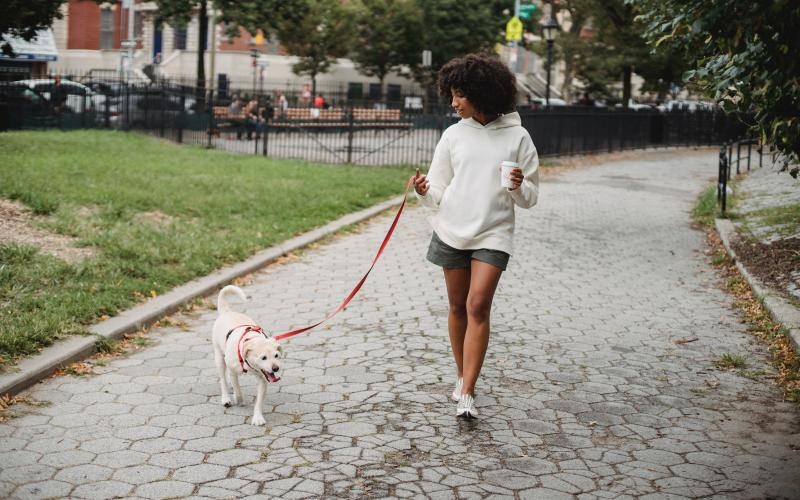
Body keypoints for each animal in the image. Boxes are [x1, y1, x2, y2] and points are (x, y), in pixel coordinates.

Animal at [212, 286, 284, 426]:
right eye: (263, 358)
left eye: (276, 355)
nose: (275, 368)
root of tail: (227, 312)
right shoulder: (232, 371)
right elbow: (237, 389)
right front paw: (238, 399)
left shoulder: (263, 379)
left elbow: (259, 401)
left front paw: (258, 417)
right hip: (219, 358)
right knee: (223, 379)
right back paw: (226, 398)